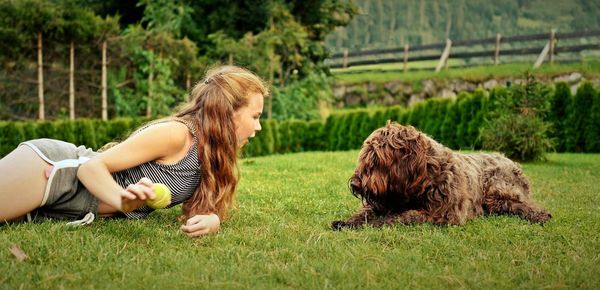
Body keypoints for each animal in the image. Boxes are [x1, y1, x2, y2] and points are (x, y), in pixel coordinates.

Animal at [332, 121, 552, 230]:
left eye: (376, 160)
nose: (355, 184)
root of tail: (510, 160)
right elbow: (366, 212)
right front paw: (347, 222)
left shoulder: (441, 213)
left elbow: (402, 217)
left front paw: (374, 224)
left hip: (497, 193)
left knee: (522, 205)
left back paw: (540, 215)